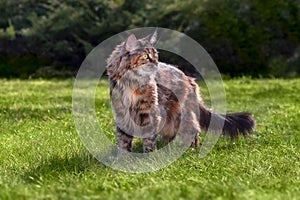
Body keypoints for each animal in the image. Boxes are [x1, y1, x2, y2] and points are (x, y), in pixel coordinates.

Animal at [106, 30, 254, 154]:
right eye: (145, 56)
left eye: (155, 56)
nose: (156, 63)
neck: (131, 84)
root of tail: (189, 78)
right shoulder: (122, 115)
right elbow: (123, 141)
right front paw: (123, 159)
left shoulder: (150, 113)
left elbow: (148, 140)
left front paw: (148, 157)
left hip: (182, 115)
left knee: (193, 132)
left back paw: (190, 150)